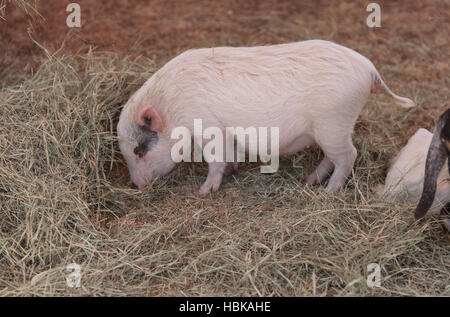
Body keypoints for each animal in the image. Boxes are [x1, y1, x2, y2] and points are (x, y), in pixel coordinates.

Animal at [117, 39, 414, 193]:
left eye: (139, 150)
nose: (134, 185)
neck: (172, 106)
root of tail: (369, 68)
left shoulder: (209, 127)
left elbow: (215, 160)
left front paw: (204, 192)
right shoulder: (227, 132)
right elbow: (230, 154)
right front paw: (233, 170)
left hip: (333, 122)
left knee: (348, 156)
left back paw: (328, 192)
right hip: (334, 128)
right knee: (334, 157)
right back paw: (310, 181)